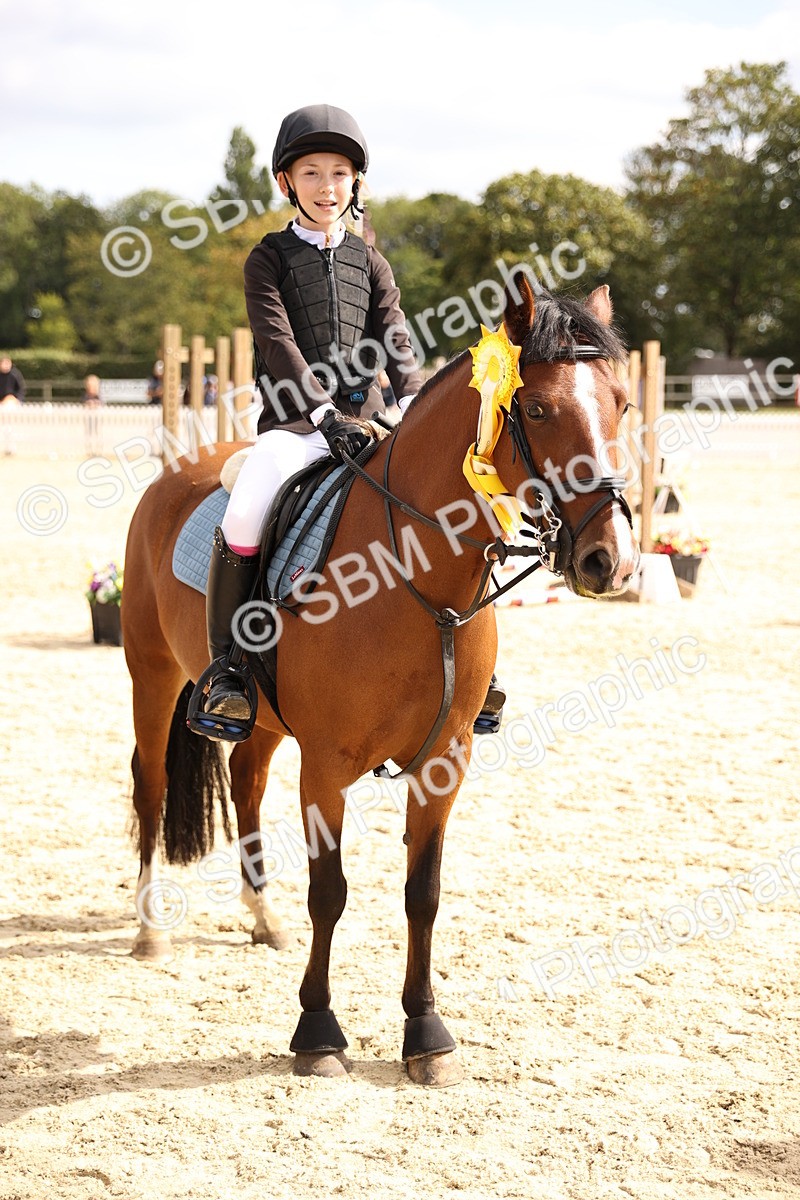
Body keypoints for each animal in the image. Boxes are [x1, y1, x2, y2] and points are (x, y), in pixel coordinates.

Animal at [121, 277, 638, 1086]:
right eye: (537, 410)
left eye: (620, 402)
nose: (608, 560)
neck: (416, 579)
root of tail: (180, 469)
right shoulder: (327, 765)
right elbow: (329, 894)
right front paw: (317, 1032)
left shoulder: (444, 762)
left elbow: (422, 894)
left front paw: (426, 1034)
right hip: (151, 673)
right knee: (150, 787)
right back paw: (149, 932)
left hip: (262, 721)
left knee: (245, 783)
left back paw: (262, 918)